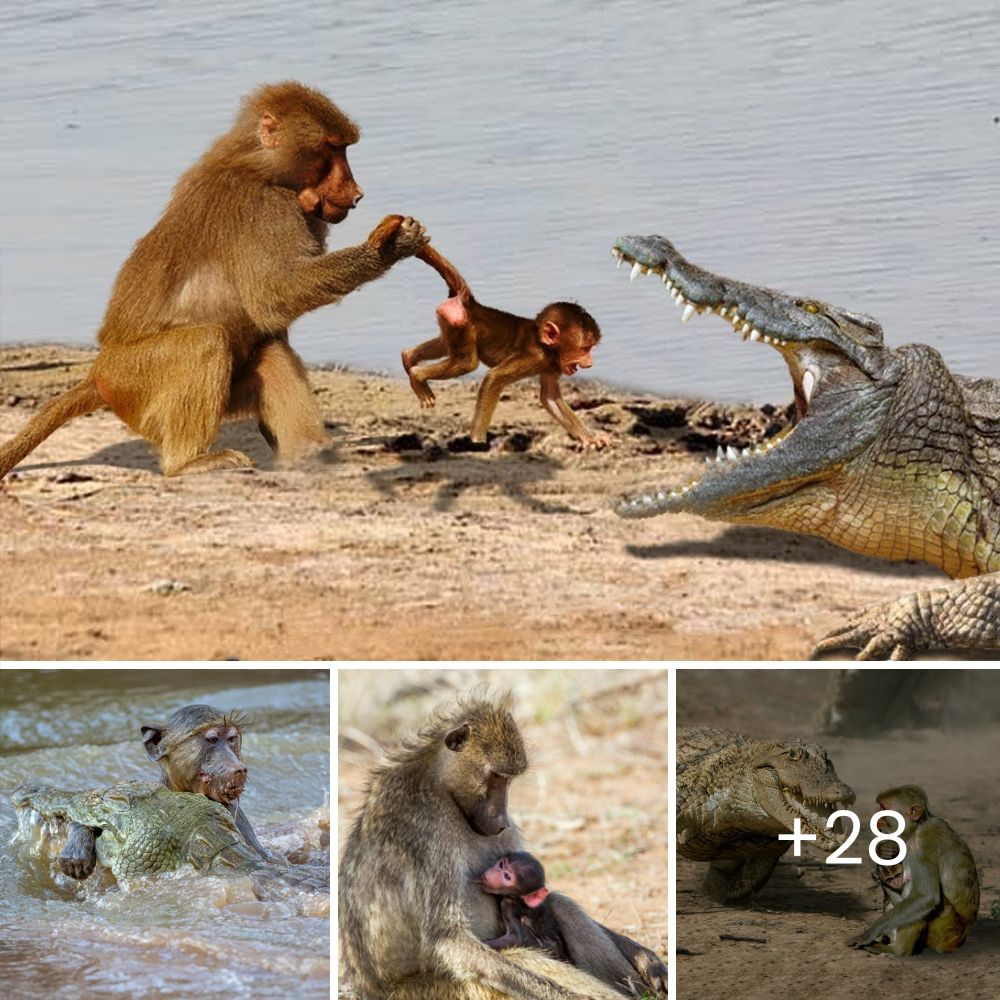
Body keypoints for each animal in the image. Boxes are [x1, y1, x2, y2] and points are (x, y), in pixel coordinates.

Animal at [0, 80, 426, 478]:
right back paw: (189, 463)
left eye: (344, 149)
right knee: (206, 342)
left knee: (270, 350)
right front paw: (388, 247)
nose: (357, 192)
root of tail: (98, 373)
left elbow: (272, 317)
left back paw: (309, 451)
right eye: (332, 150)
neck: (260, 167)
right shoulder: (265, 208)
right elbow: (275, 296)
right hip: (136, 380)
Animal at [402, 236, 612, 448]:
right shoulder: (534, 357)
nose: (589, 362)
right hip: (463, 326)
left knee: (445, 346)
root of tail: (470, 303)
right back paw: (417, 374)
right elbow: (493, 378)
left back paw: (408, 357)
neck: (545, 347)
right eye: (585, 348)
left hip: (453, 324)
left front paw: (590, 437)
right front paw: (477, 442)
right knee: (466, 363)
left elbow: (550, 397)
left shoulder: (552, 365)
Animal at [848, 784, 980, 956]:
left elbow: (926, 897)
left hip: (947, 930)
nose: (876, 819)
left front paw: (870, 932)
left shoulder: (922, 844)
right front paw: (883, 854)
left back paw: (897, 950)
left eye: (884, 809)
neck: (916, 827)